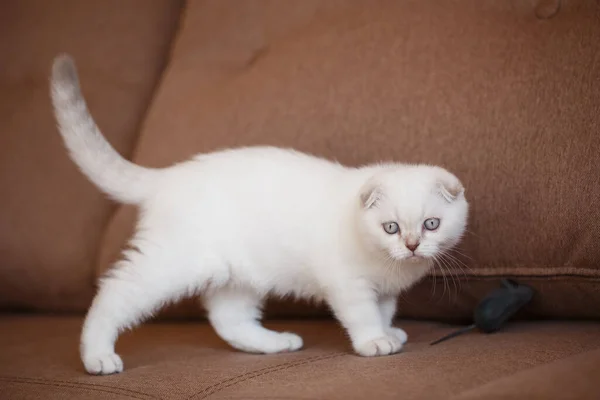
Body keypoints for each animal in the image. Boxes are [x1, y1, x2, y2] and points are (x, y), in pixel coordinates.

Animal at [49, 55, 468, 376]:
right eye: (391, 227)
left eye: (431, 224)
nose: (412, 246)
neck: (387, 265)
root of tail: (168, 176)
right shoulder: (349, 284)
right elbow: (363, 316)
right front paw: (375, 342)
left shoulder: (384, 291)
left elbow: (383, 311)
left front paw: (389, 331)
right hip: (171, 263)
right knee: (113, 293)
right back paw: (97, 356)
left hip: (238, 275)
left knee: (228, 319)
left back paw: (276, 342)